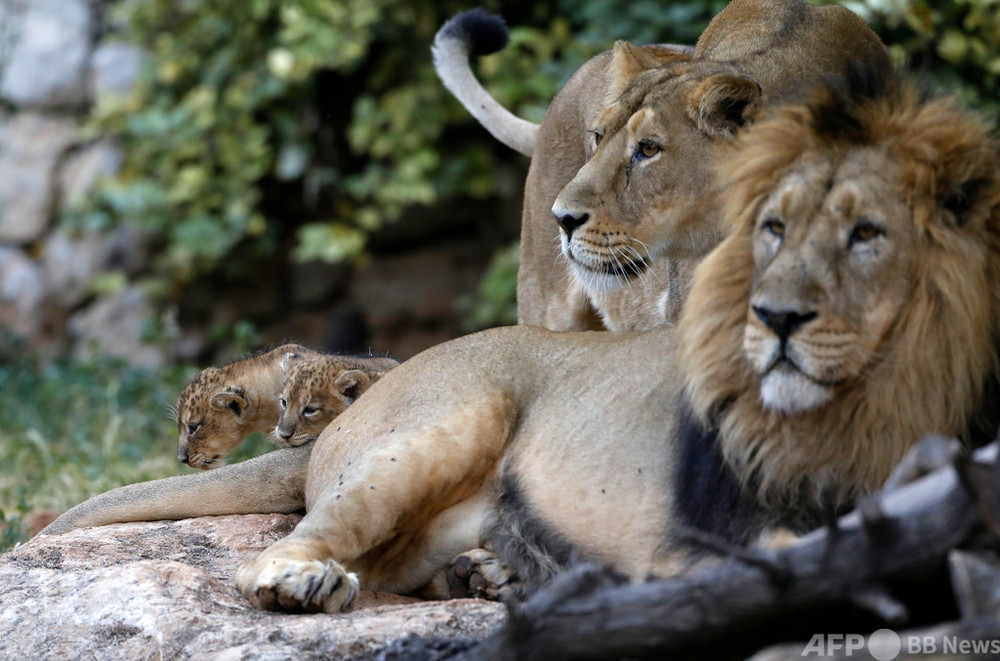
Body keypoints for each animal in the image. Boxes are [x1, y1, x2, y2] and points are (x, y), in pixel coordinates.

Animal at [43, 73, 1000, 612]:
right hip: (441, 427)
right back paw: (309, 585)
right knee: (297, 547)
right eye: (770, 227)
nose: (777, 317)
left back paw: (489, 578)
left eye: (867, 236)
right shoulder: (717, 533)